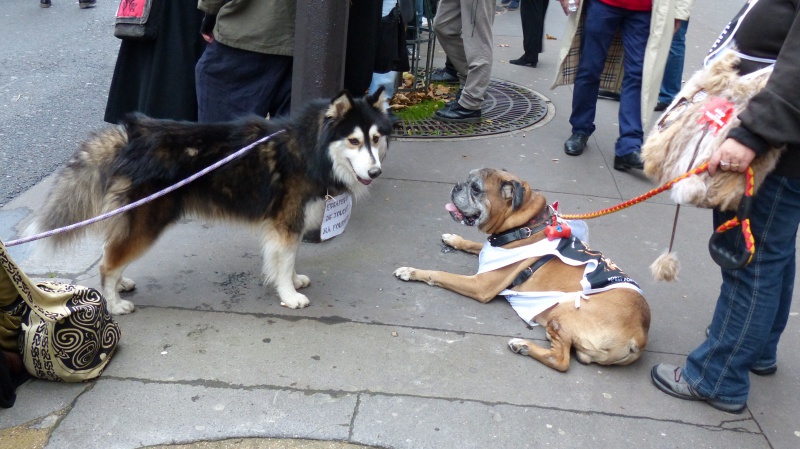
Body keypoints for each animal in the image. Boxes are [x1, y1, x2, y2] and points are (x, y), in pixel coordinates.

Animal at [37, 89, 394, 314]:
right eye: (353, 141)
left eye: (376, 138)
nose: (375, 172)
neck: (310, 149)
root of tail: (129, 137)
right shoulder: (286, 222)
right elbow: (285, 259)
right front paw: (289, 294)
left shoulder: (288, 225)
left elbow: (288, 259)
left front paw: (292, 281)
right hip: (147, 222)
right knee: (107, 263)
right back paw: (114, 304)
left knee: (110, 252)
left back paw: (121, 283)